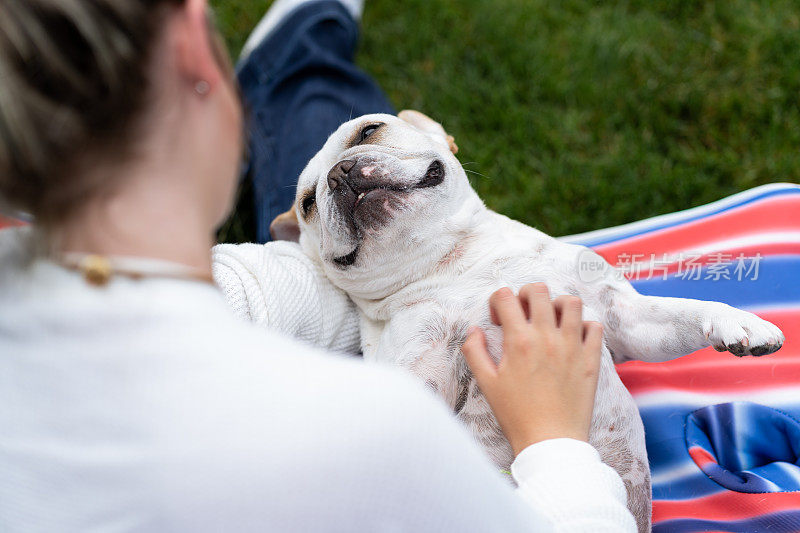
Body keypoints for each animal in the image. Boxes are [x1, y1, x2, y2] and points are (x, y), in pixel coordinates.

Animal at [272, 110, 784, 528]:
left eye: (369, 130)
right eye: (308, 203)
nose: (339, 174)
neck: (453, 263)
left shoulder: (624, 319)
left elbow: (682, 313)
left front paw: (740, 323)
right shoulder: (420, 361)